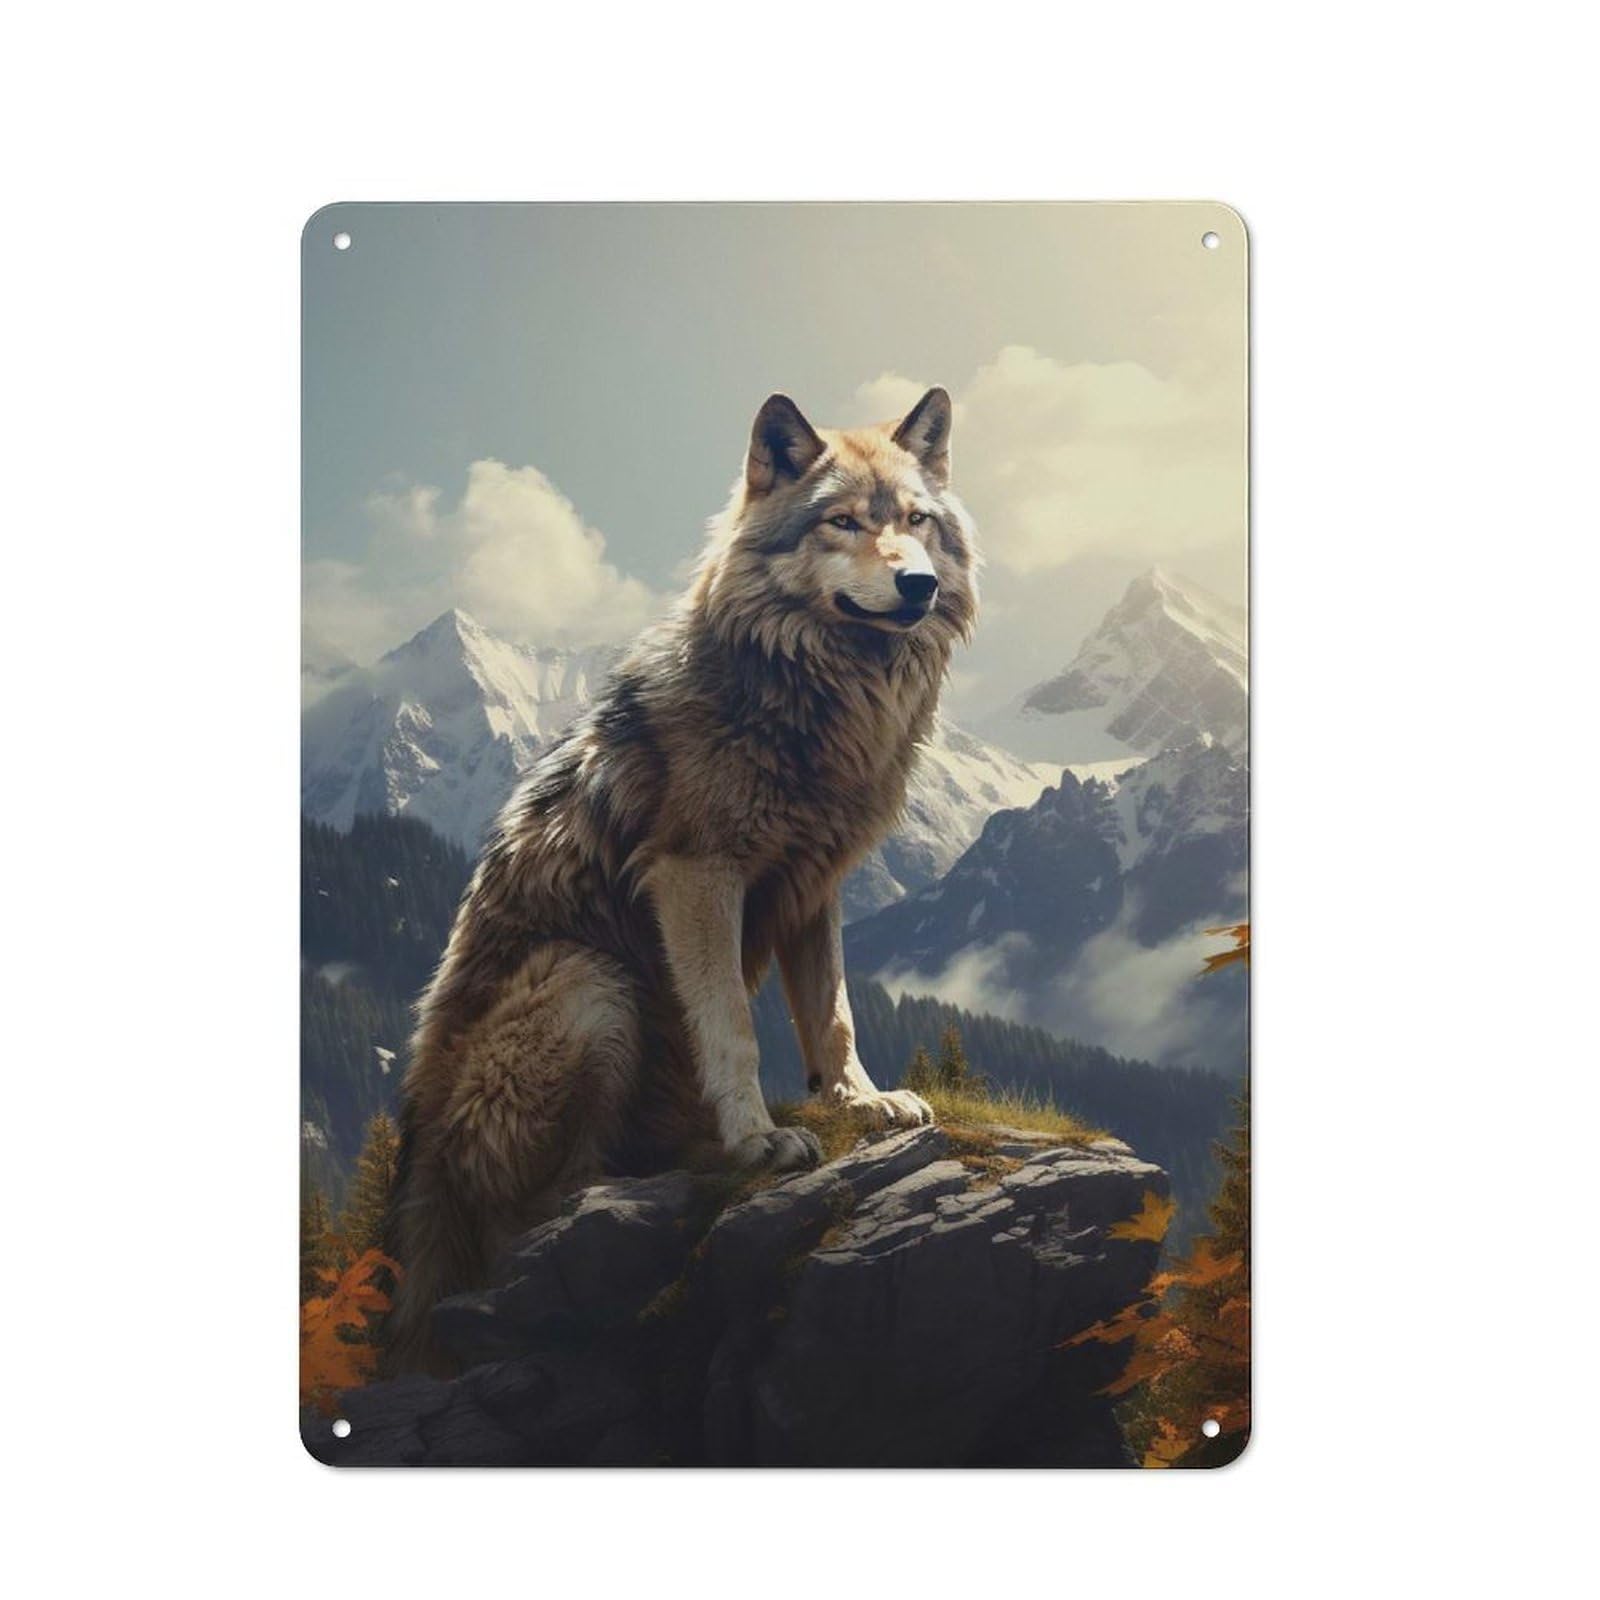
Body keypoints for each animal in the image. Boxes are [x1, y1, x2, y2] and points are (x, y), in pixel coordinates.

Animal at [385, 387, 979, 1371]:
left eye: (916, 522)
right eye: (844, 522)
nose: (918, 586)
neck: (817, 692)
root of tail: (419, 1170)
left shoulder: (814, 884)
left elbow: (832, 1013)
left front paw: (861, 1101)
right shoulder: (698, 874)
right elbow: (733, 1025)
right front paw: (758, 1136)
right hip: (591, 981)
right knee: (529, 1221)